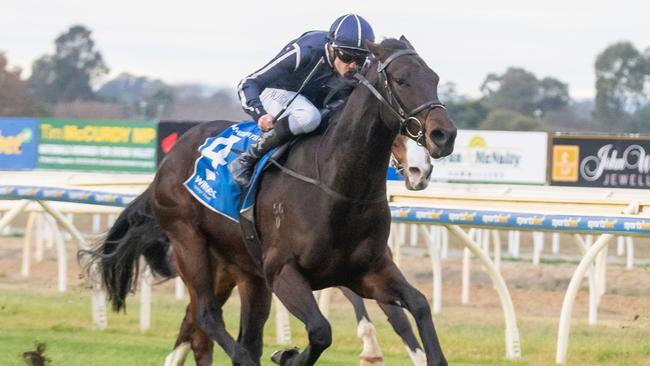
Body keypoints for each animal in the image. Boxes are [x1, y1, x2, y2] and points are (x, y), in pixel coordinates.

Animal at [83, 38, 454, 366]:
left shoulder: (367, 271)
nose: (444, 136)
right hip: (189, 242)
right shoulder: (282, 271)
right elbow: (320, 330)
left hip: (241, 271)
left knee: (218, 330)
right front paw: (288, 355)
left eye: (435, 78)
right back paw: (242, 356)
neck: (335, 185)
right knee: (208, 316)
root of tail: (169, 160)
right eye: (402, 80)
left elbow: (419, 304)